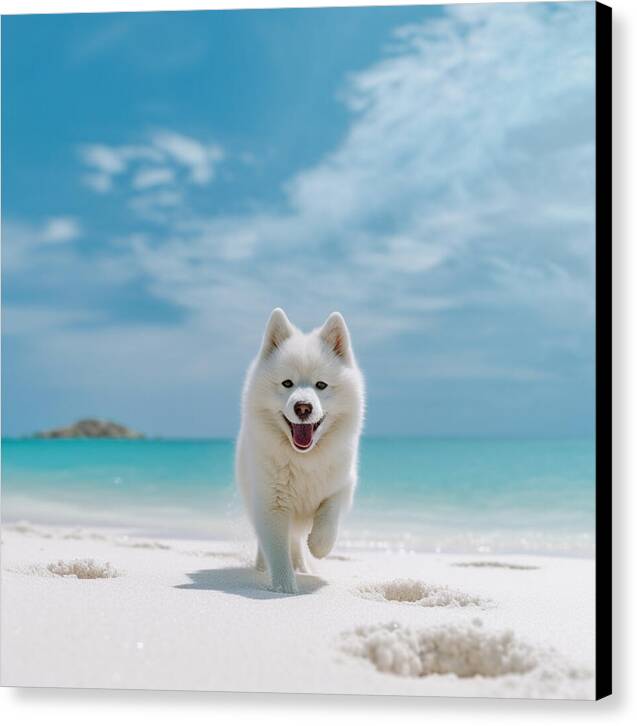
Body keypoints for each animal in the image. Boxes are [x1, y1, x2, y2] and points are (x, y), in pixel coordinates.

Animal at [235, 310, 366, 596]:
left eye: (321, 385)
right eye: (287, 383)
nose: (303, 407)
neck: (304, 459)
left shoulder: (342, 485)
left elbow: (329, 515)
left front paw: (317, 545)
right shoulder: (271, 504)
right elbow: (277, 550)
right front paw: (284, 586)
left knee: (295, 540)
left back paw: (304, 566)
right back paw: (263, 567)